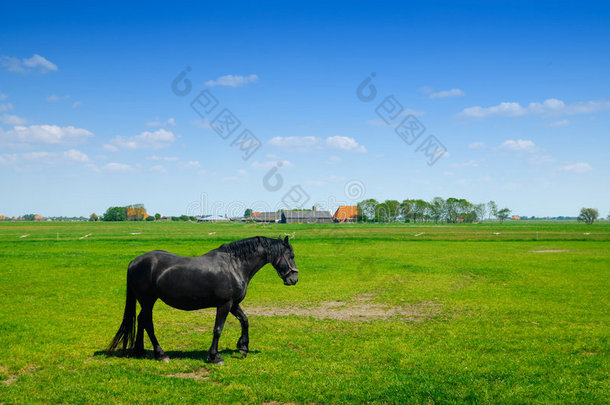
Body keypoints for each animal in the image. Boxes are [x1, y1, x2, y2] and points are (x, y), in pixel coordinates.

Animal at [105, 234, 298, 362]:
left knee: (141, 320)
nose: (294, 279)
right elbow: (218, 329)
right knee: (147, 322)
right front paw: (214, 356)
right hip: (147, 300)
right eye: (291, 256)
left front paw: (243, 347)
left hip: (146, 302)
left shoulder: (234, 304)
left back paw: (140, 351)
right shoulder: (225, 304)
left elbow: (245, 320)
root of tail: (134, 262)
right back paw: (161, 354)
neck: (234, 265)